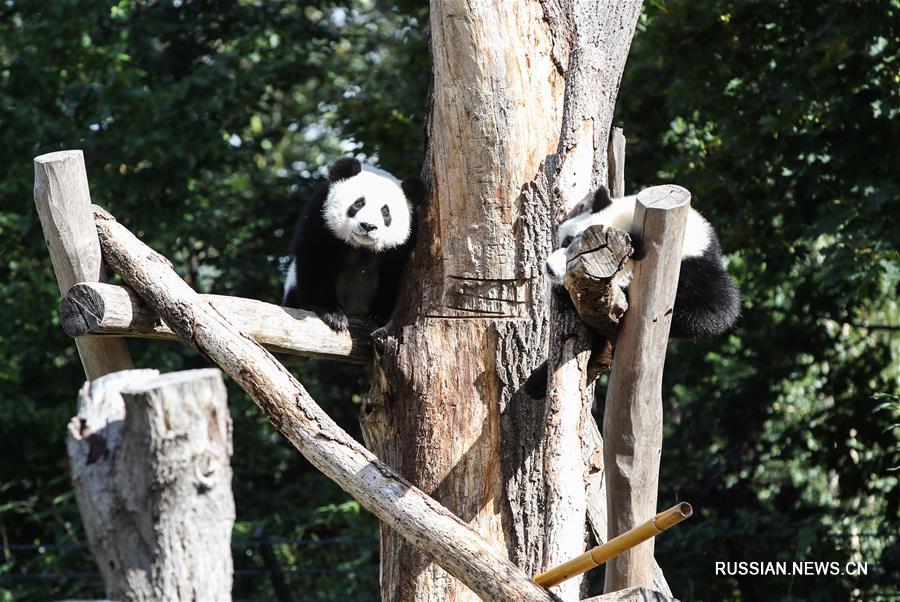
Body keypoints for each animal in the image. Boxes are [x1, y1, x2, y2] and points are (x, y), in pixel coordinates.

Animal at [284, 157, 428, 330]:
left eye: (385, 211)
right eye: (359, 203)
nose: (368, 226)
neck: (361, 248)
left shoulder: (401, 247)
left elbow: (392, 277)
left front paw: (379, 314)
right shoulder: (321, 220)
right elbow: (315, 260)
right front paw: (333, 315)